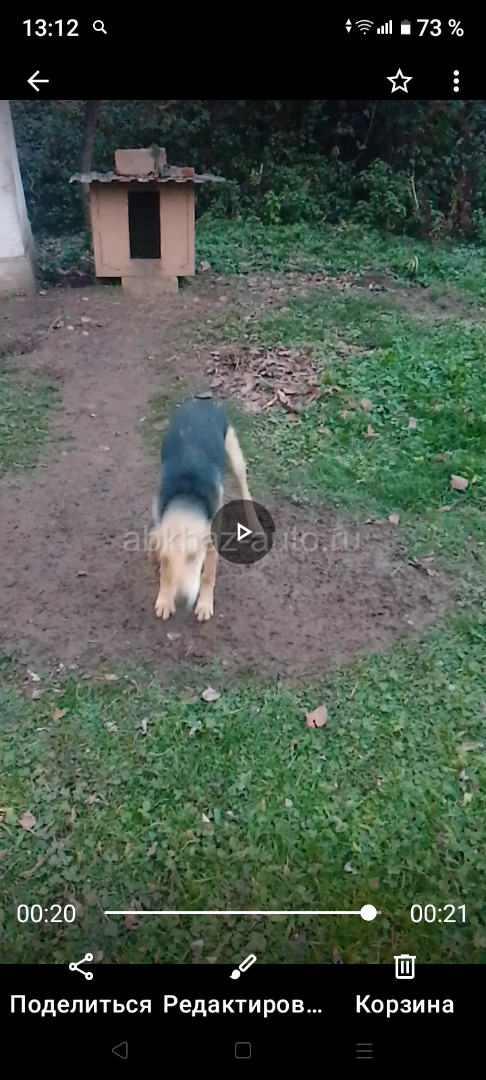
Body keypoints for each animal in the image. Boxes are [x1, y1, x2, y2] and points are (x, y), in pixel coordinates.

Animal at [148, 398, 261, 622]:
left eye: (193, 556)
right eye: (167, 558)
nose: (181, 602)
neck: (186, 499)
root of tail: (201, 400)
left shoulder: (211, 541)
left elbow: (208, 575)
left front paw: (204, 605)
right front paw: (165, 599)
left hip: (234, 453)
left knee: (243, 484)